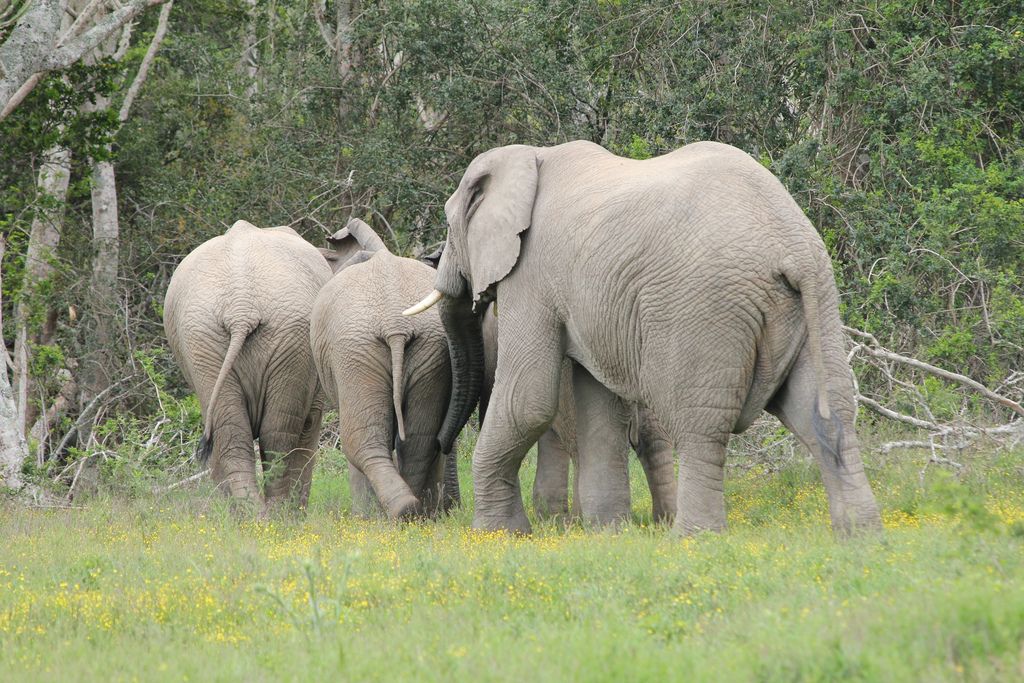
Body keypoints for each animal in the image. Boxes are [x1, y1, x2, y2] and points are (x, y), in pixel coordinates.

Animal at [163, 220, 333, 508]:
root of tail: (241, 309)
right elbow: (310, 424)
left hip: (211, 338)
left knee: (235, 434)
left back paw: (254, 515)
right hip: (254, 337)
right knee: (275, 435)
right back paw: (276, 515)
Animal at [310, 219, 458, 520]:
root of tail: (394, 323)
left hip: (355, 349)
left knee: (362, 440)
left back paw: (385, 515)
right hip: (429, 346)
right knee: (418, 440)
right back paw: (413, 514)